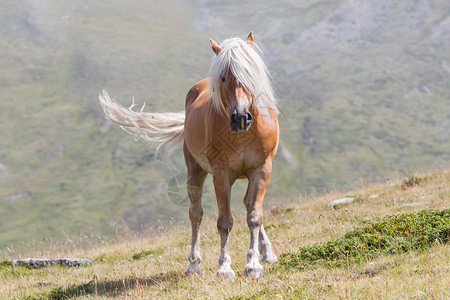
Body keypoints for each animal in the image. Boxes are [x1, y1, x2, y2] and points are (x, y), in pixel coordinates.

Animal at [99, 32, 278, 278]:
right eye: (223, 77)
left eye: (250, 72)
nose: (240, 117)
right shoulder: (221, 174)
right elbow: (224, 222)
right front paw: (224, 266)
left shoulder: (262, 169)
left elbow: (254, 216)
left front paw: (253, 264)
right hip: (195, 171)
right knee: (196, 214)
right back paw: (194, 263)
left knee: (248, 205)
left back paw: (266, 252)